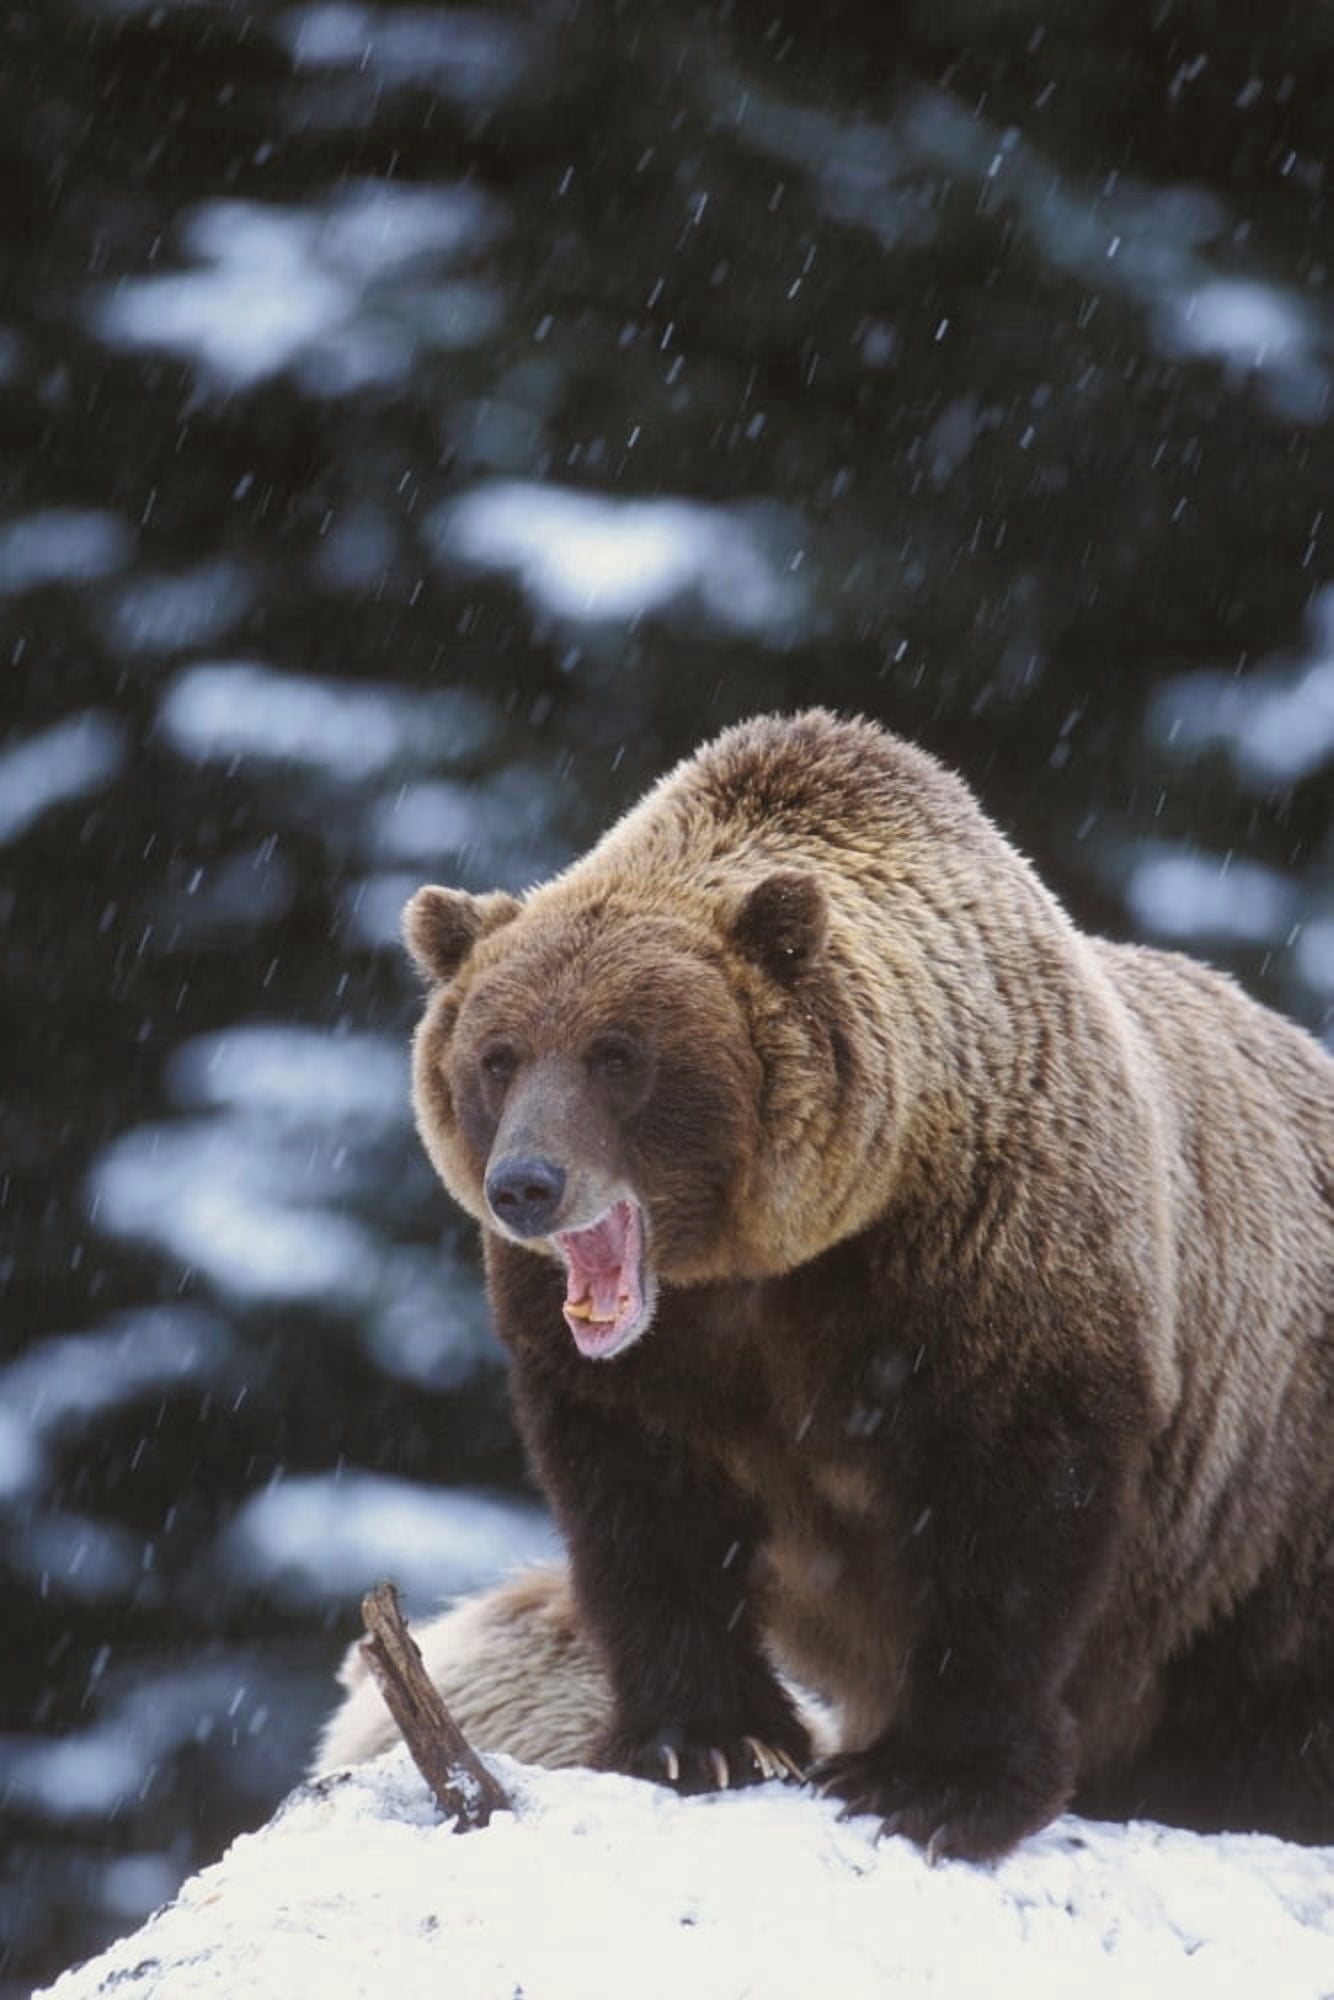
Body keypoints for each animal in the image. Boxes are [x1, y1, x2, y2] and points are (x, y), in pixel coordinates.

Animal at [378, 709, 1332, 1861]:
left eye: (619, 1052)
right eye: (497, 1055)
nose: (525, 1184)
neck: (780, 1254)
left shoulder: (993, 1257)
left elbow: (1009, 1525)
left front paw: (933, 1780)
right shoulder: (633, 1361)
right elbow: (643, 1517)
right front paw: (703, 1739)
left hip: (1278, 1491)